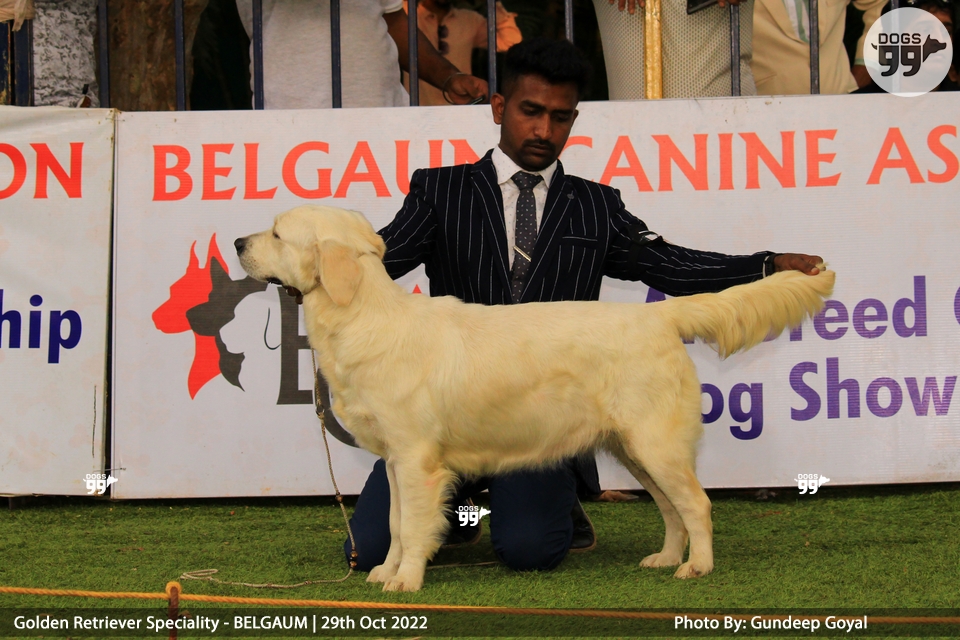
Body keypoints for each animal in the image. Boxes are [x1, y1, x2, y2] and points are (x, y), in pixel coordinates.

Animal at [235, 204, 835, 592]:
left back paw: (698, 568)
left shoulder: (416, 459)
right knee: (672, 508)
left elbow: (413, 526)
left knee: (698, 504)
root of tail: (658, 314)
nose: (238, 242)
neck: (362, 315)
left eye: (277, 233)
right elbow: (394, 524)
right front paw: (386, 570)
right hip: (634, 449)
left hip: (655, 442)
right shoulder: (395, 460)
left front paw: (404, 581)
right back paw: (666, 558)